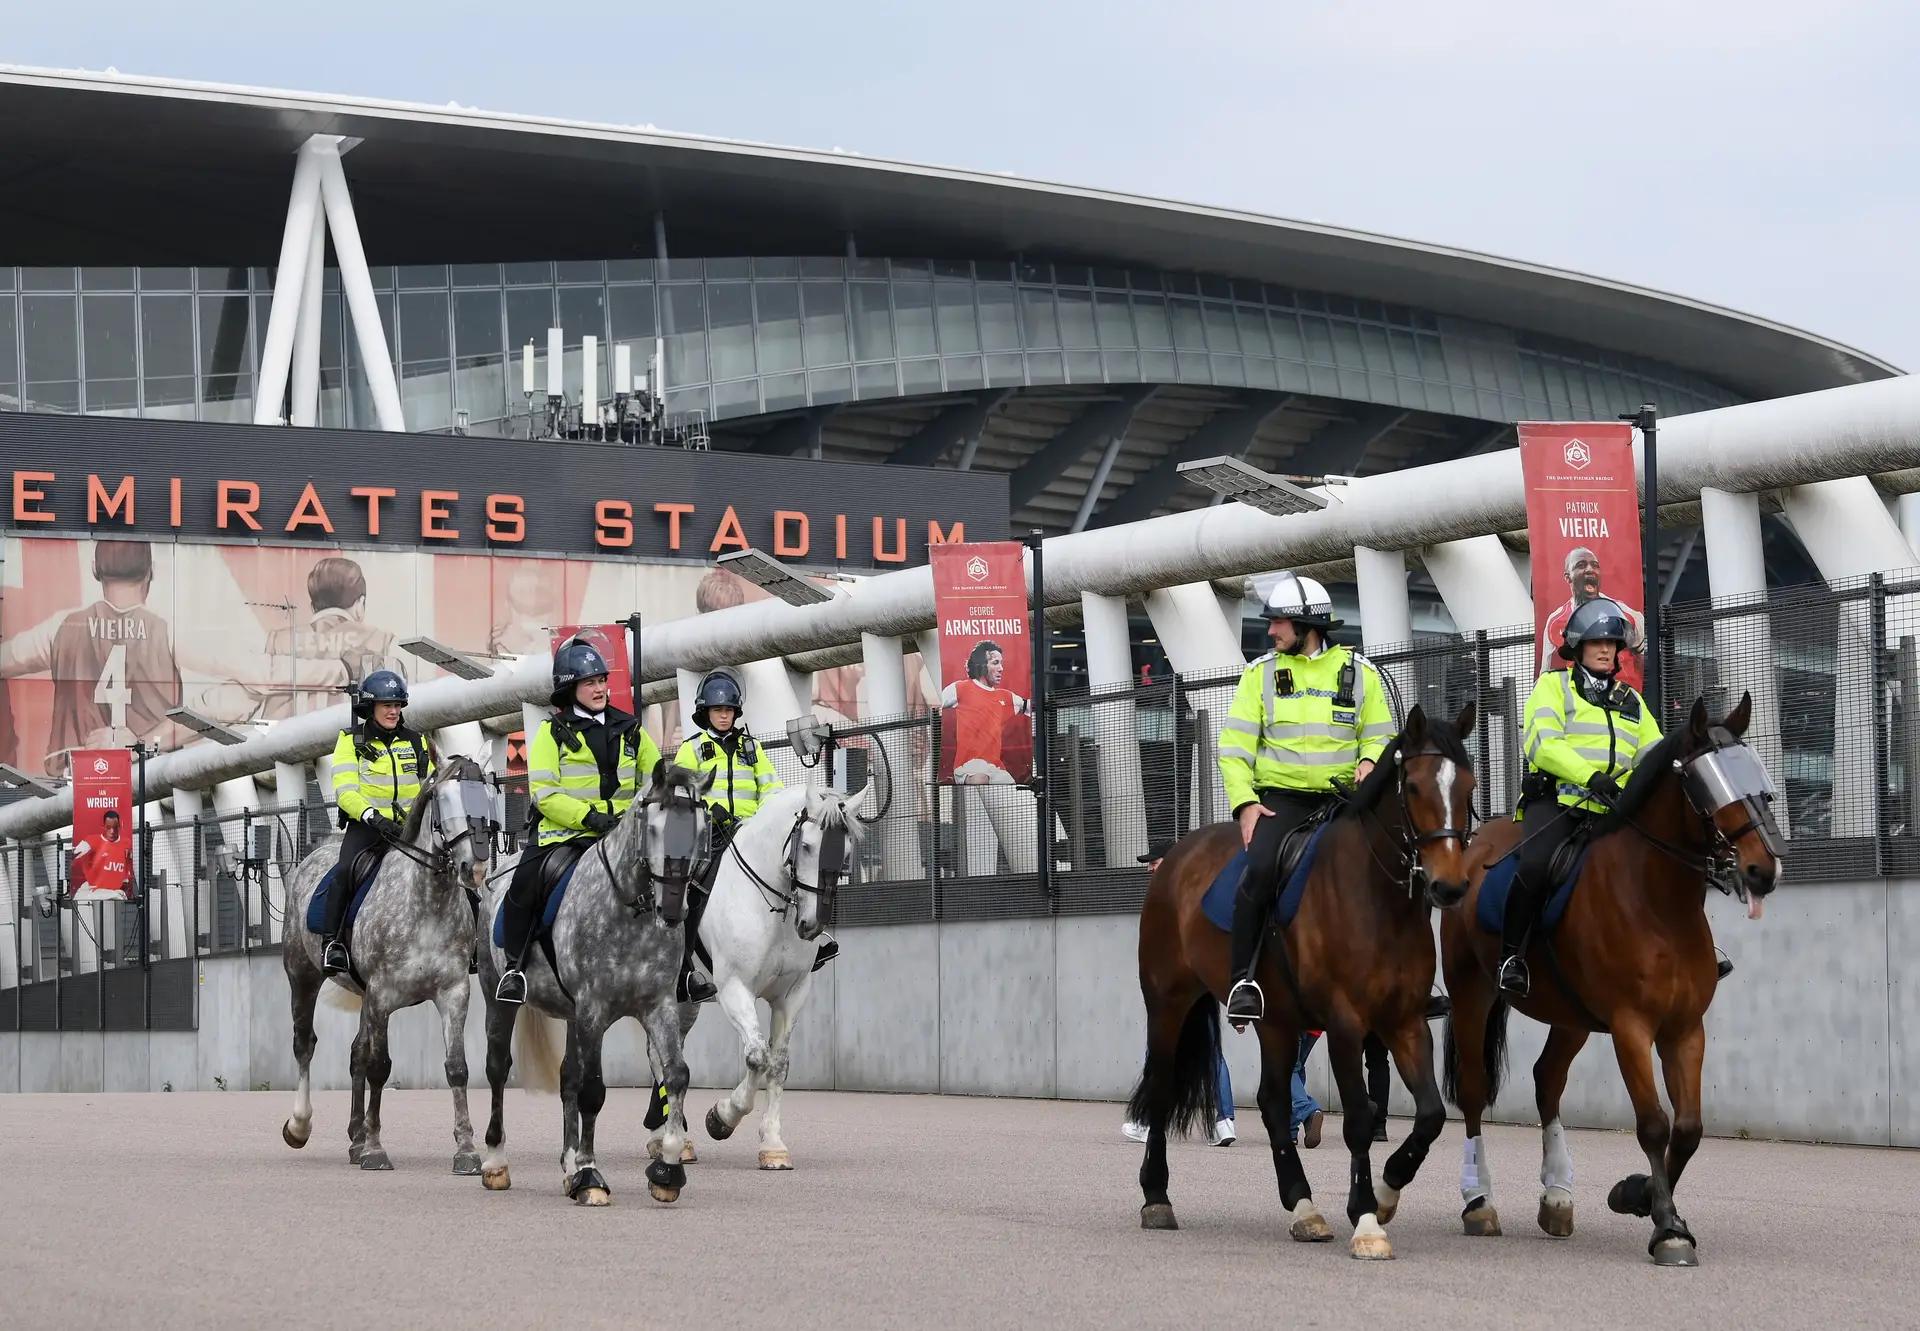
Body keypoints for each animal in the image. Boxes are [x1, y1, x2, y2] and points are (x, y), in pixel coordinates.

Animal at [284, 752, 499, 1167]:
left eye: (486, 797)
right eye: (444, 799)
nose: (476, 868)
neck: (426, 903)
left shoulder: (453, 993)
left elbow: (456, 1068)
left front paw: (465, 1149)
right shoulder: (382, 994)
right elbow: (380, 1067)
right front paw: (375, 1148)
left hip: (364, 998)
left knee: (356, 1054)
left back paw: (355, 1137)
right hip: (303, 976)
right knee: (305, 1044)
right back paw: (301, 1126)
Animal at [476, 756, 718, 1206]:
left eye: (700, 832)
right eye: (652, 827)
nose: (673, 908)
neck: (630, 912)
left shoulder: (658, 1006)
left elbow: (676, 1074)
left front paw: (667, 1170)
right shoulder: (595, 1008)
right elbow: (593, 1090)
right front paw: (590, 1175)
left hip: (573, 1015)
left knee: (567, 1076)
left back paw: (568, 1166)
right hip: (497, 997)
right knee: (498, 1069)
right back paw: (496, 1163)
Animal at [664, 783, 867, 1167]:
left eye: (846, 852)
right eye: (807, 846)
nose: (812, 923)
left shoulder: (792, 996)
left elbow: (778, 1063)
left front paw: (772, 1143)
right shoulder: (734, 990)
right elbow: (756, 1056)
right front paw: (722, 1117)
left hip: (686, 1004)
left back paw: (674, 1138)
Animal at [1128, 699, 1474, 1259]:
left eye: (1467, 785)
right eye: (1417, 787)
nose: (1449, 886)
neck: (1377, 899)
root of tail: (1176, 856)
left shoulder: (1403, 1022)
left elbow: (1430, 1115)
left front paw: (1386, 1193)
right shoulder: (1347, 1024)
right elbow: (1359, 1119)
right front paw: (1365, 1218)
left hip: (1277, 1021)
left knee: (1273, 1101)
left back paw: (1303, 1206)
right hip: (1167, 1005)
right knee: (1160, 1090)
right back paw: (1156, 1197)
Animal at [1443, 695, 1781, 1267]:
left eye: (1754, 773)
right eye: (1708, 783)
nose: (1765, 869)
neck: (1657, 903)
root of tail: (1472, 844)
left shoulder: (1684, 1030)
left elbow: (1688, 1129)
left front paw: (1638, 1195)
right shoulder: (1631, 1028)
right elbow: (1653, 1124)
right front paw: (1667, 1228)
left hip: (1570, 1017)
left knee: (1547, 1081)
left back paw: (1556, 1197)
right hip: (1473, 995)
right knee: (1473, 1090)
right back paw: (1479, 1202)